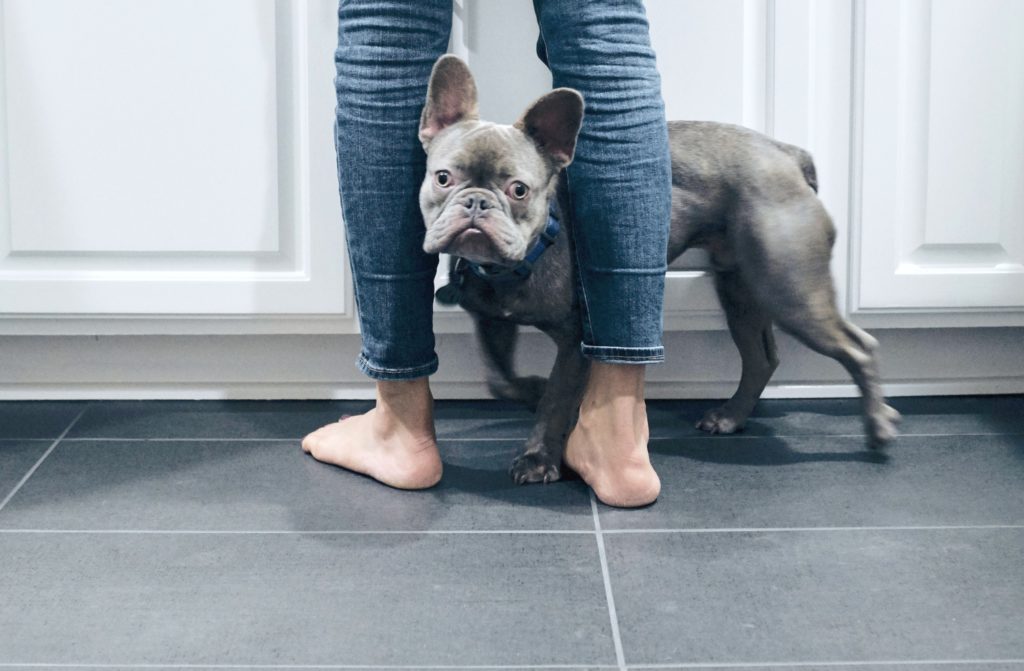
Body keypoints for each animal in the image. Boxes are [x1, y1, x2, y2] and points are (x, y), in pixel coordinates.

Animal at [415, 55, 897, 485]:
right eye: (442, 178)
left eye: (519, 190)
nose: (477, 203)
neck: (520, 260)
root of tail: (786, 154)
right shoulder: (492, 320)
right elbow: (500, 379)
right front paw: (532, 390)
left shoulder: (576, 340)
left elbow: (555, 399)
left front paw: (538, 457)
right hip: (741, 291)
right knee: (762, 358)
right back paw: (731, 416)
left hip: (790, 286)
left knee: (858, 346)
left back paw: (878, 427)